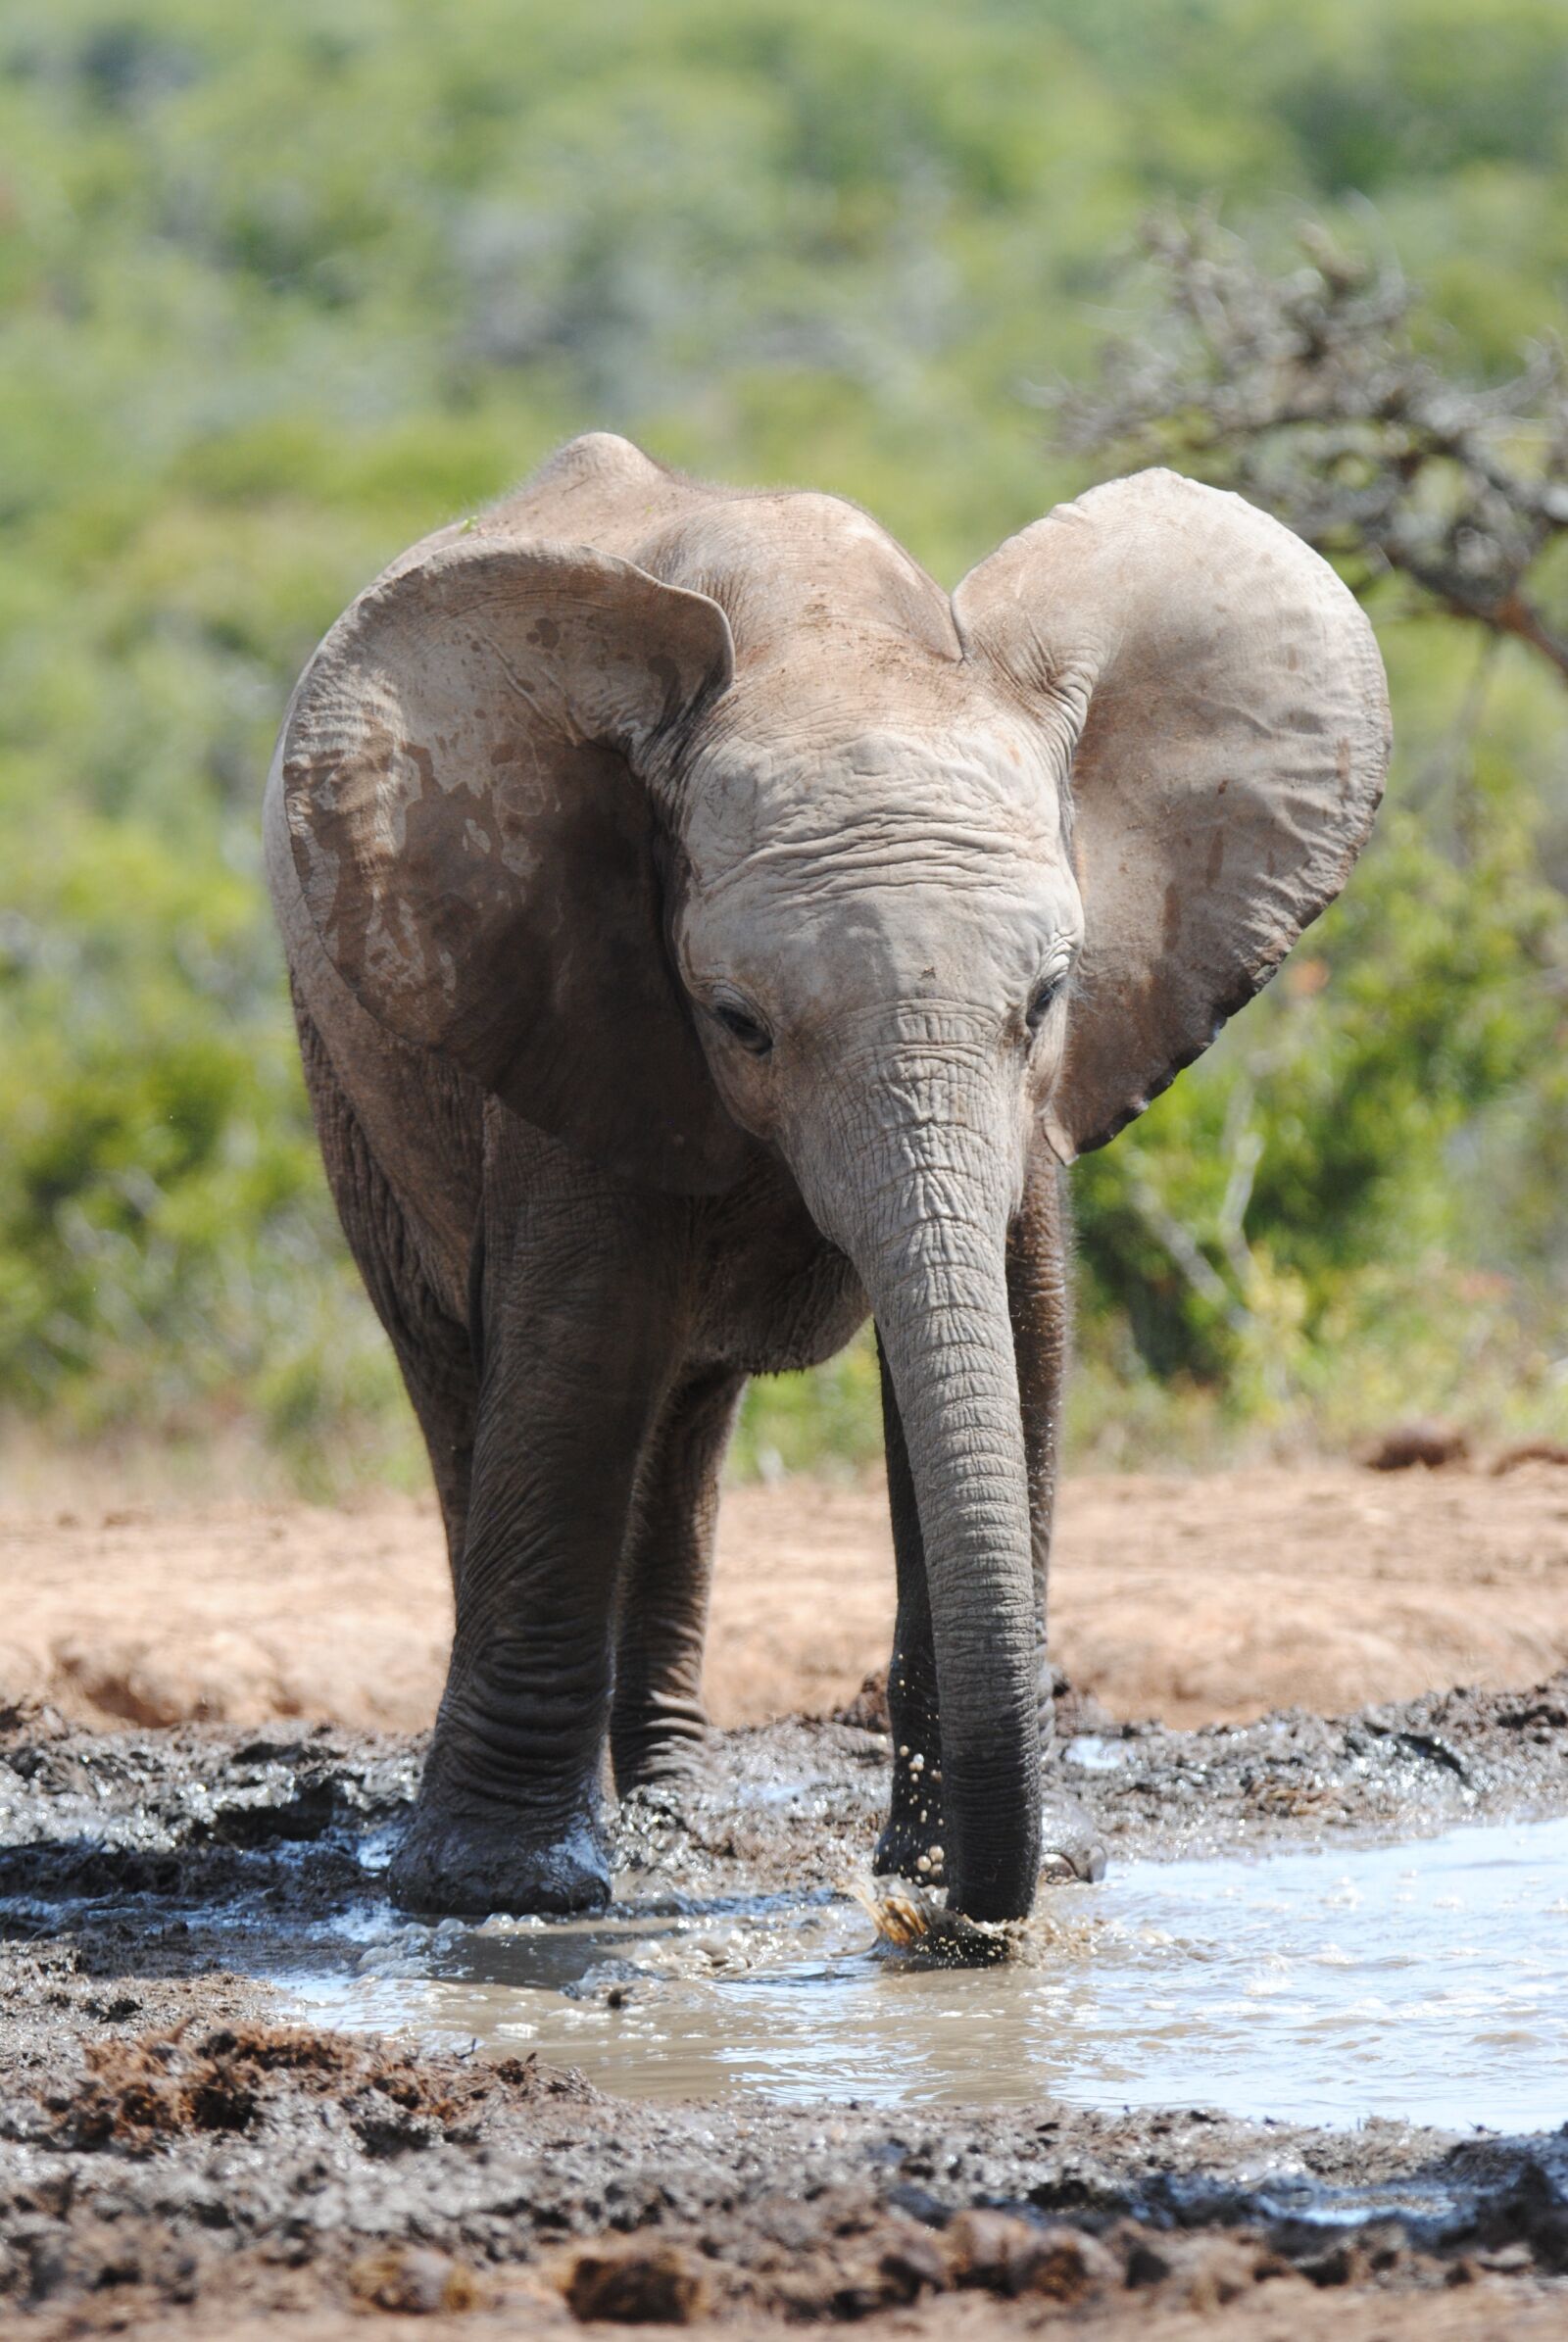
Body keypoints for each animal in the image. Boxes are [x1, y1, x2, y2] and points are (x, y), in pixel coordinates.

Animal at [265, 431, 1388, 1924]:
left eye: (1047, 996)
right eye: (740, 1021)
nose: (954, 1919)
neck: (827, 633)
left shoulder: (1033, 1104)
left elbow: (1017, 1342)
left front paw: (971, 1870)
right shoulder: (578, 993)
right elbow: (574, 1356)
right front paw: (499, 1895)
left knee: (684, 1421)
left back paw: (671, 1806)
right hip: (347, 1071)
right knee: (469, 1370)